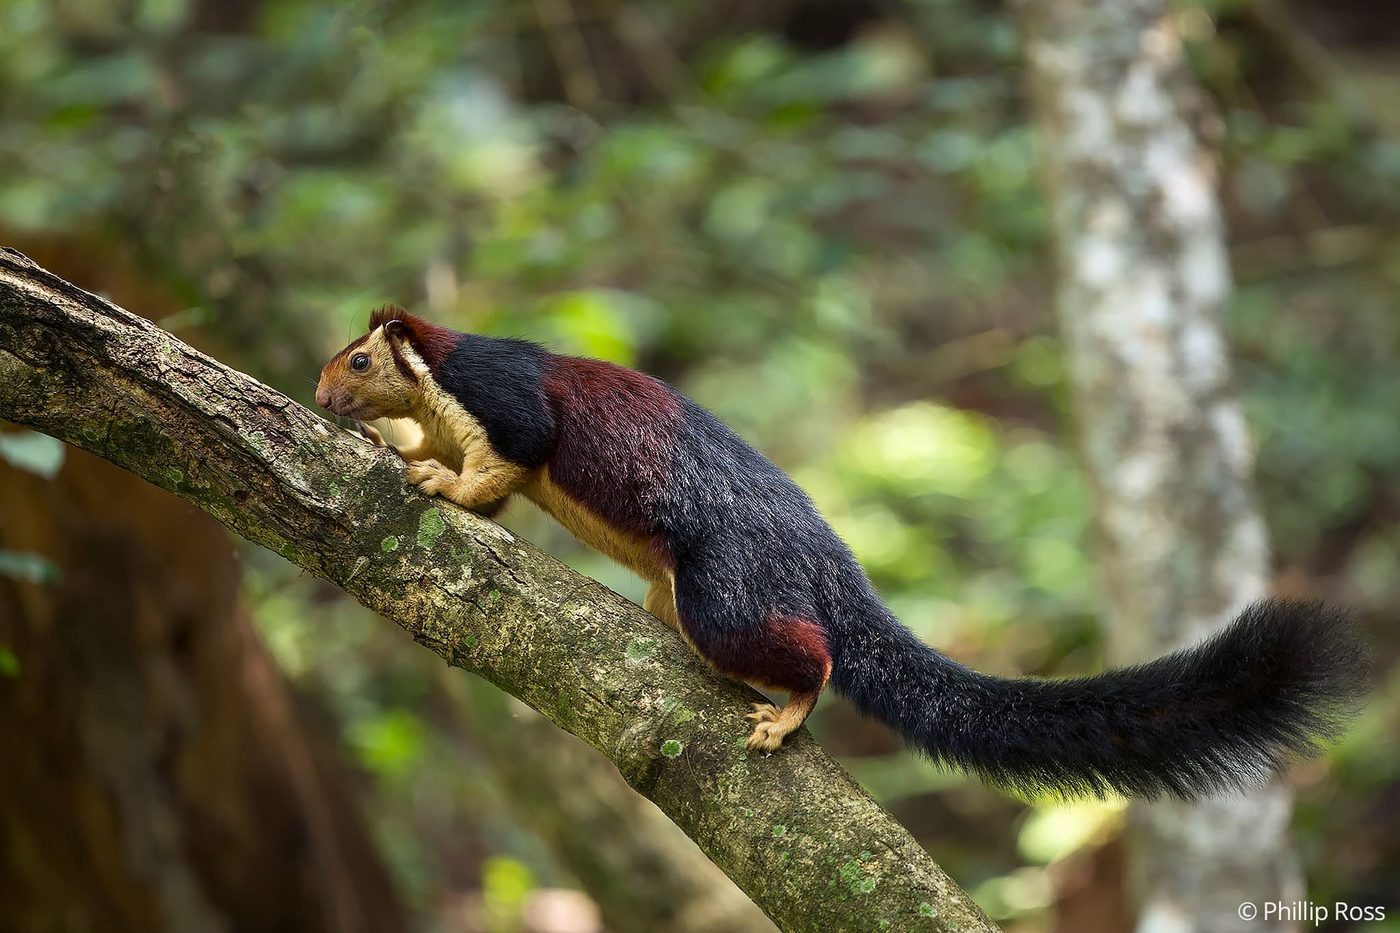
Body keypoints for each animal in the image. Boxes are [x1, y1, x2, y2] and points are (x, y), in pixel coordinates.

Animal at [316, 307, 1367, 799]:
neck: (441, 380)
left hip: (728, 588)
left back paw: (785, 708)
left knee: (811, 652)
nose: (324, 396)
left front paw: (433, 481)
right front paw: (398, 446)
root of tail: (828, 561)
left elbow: (499, 470)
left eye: (359, 359)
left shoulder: (504, 405)